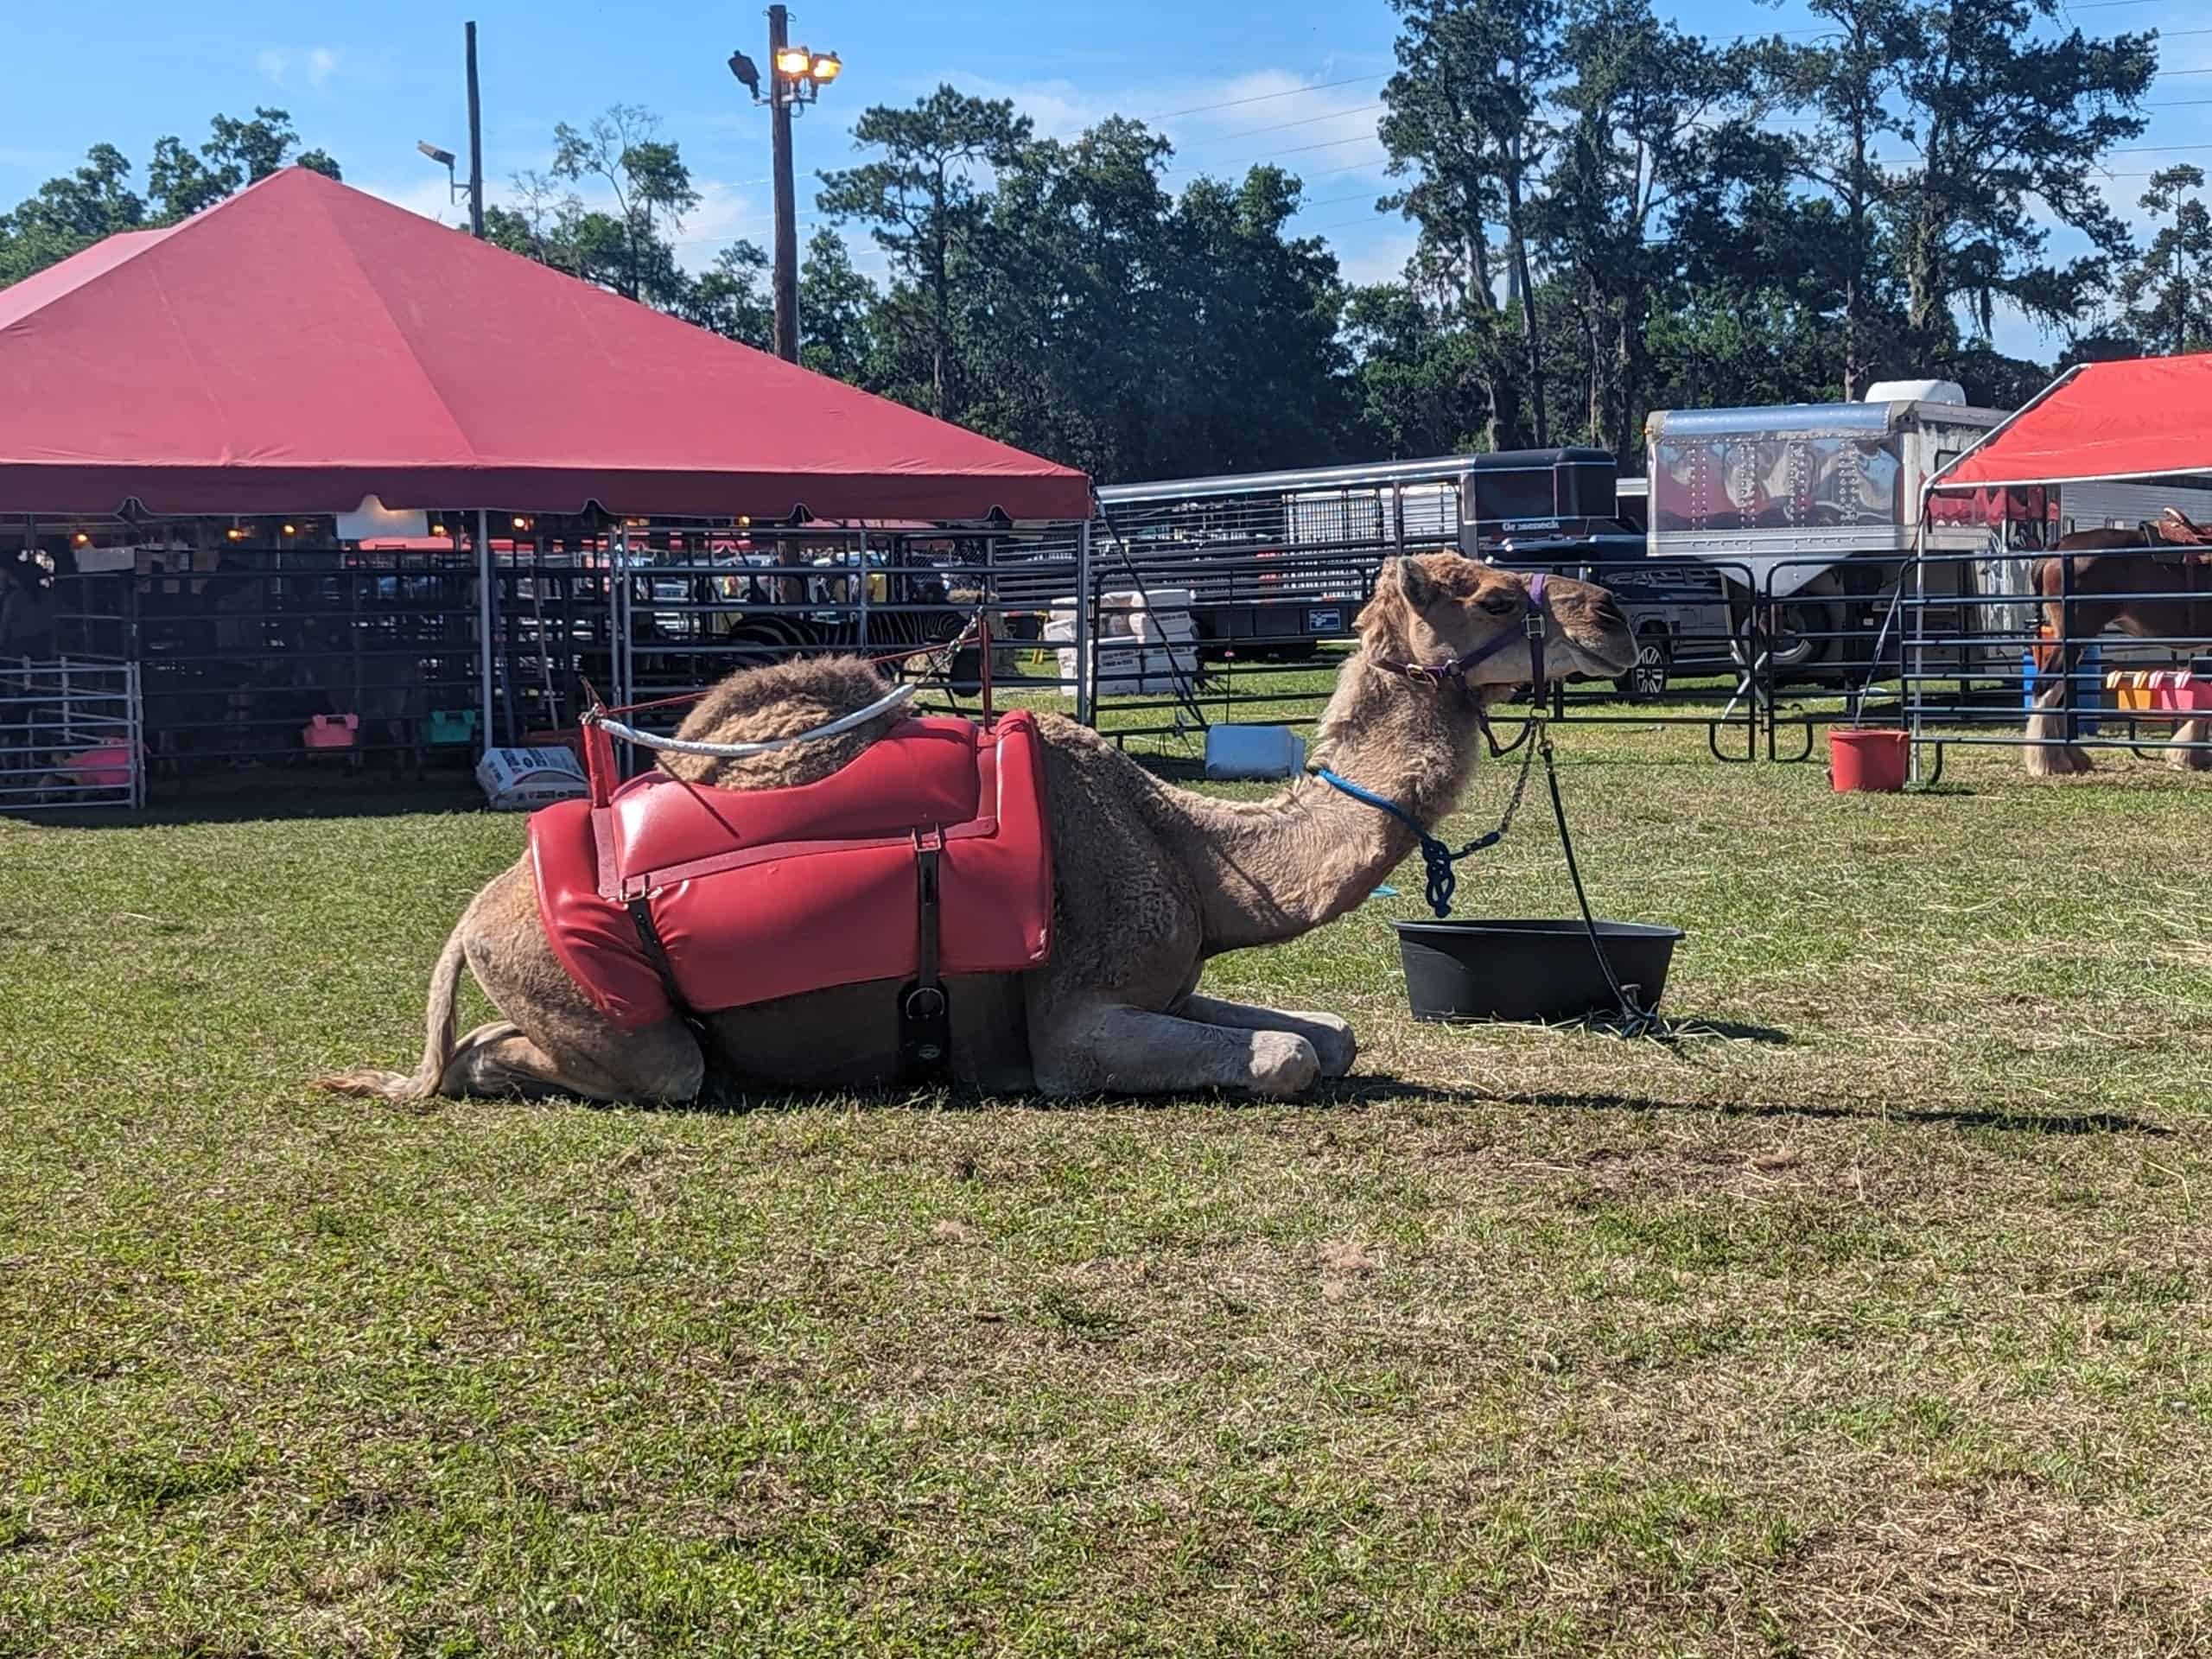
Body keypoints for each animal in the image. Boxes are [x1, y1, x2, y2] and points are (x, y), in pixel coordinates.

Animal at [311, 553, 1637, 1110]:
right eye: (1483, 590)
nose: (1616, 610)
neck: (1200, 859)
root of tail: (470, 922)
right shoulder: (1073, 1020)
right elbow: (1286, 1060)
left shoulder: (1166, 976)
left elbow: (1335, 1034)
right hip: (608, 1016)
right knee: (576, 1064)